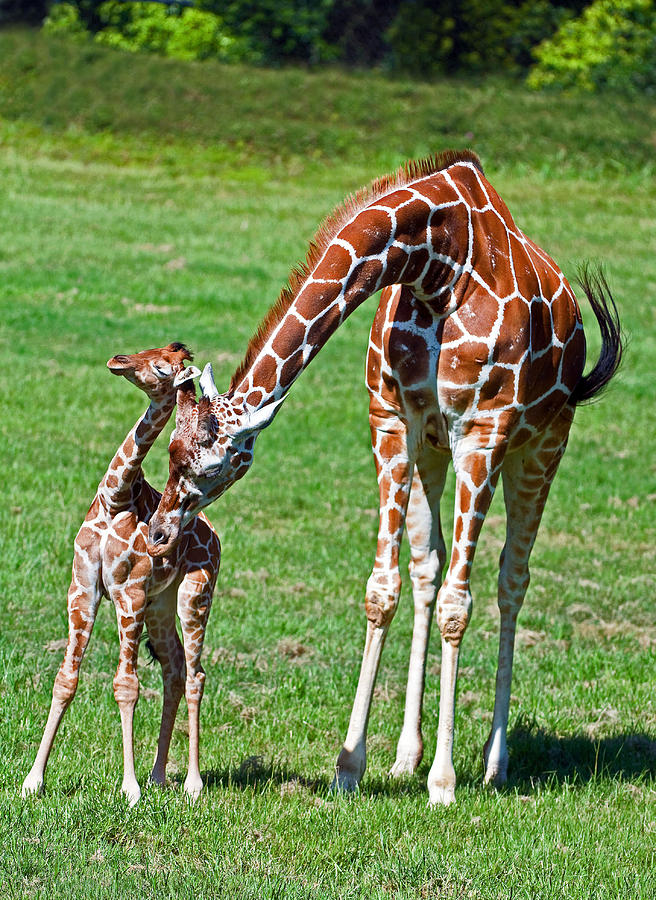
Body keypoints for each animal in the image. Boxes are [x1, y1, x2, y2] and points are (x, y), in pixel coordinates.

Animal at [21, 342, 222, 804]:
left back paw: (192, 783)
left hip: (193, 596)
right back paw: (159, 775)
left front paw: (129, 789)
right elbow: (65, 679)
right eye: (146, 349)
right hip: (160, 606)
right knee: (174, 669)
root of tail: (215, 534)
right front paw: (32, 781)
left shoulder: (128, 592)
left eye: (163, 367)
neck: (115, 497)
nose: (118, 361)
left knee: (196, 674)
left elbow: (126, 685)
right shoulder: (83, 587)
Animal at [147, 151, 620, 804]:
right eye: (170, 451)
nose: (158, 534)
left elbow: (458, 602)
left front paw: (444, 783)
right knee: (428, 566)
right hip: (434, 452)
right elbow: (384, 587)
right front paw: (351, 766)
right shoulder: (393, 418)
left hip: (541, 443)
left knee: (510, 580)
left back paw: (493, 764)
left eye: (213, 464)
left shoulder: (483, 430)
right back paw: (405, 757)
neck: (437, 263)